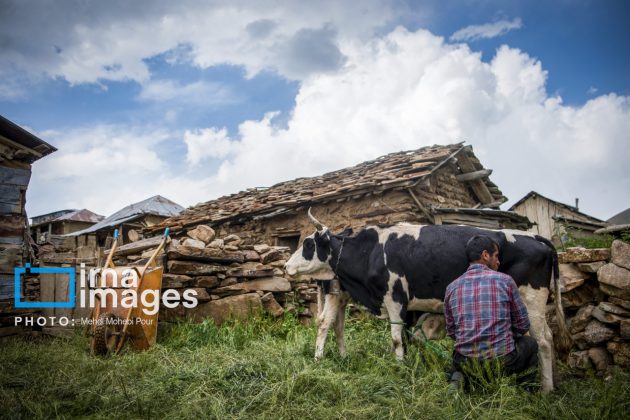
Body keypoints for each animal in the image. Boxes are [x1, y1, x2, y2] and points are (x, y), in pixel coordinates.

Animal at [286, 210, 572, 394]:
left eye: (308, 244)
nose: (287, 266)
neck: (371, 252)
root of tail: (536, 237)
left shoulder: (395, 298)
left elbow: (397, 338)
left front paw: (400, 369)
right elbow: (405, 338)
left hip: (532, 299)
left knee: (544, 340)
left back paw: (546, 389)